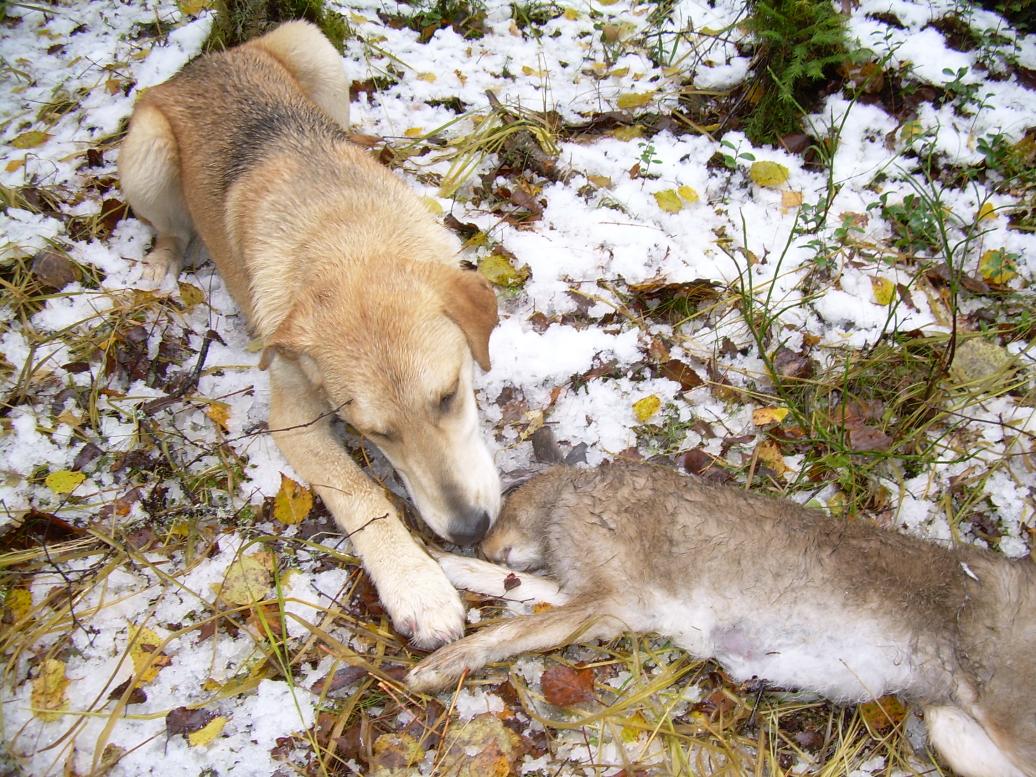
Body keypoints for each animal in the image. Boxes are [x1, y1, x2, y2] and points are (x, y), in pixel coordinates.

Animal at [119, 21, 503, 646]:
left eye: (449, 396)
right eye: (375, 433)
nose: (470, 532)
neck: (342, 235)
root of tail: (202, 62)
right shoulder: (292, 416)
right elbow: (361, 493)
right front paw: (416, 585)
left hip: (316, 53)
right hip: (147, 151)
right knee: (169, 229)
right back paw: (160, 264)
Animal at [408, 466, 1031, 774]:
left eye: (514, 493)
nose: (485, 544)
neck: (571, 495)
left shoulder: (609, 602)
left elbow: (513, 630)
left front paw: (433, 670)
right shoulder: (591, 599)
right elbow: (526, 596)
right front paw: (447, 567)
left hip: (1007, 706)